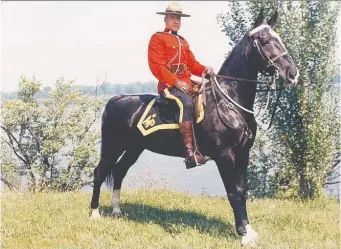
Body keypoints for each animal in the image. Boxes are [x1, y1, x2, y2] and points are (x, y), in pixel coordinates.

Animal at [89, 10, 298, 247]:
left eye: (279, 39)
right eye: (264, 41)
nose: (292, 74)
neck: (229, 102)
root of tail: (115, 99)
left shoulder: (243, 153)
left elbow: (242, 190)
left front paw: (249, 231)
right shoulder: (224, 155)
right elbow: (233, 193)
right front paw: (243, 234)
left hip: (134, 148)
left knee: (120, 171)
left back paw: (116, 210)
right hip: (112, 147)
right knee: (100, 172)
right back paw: (95, 213)